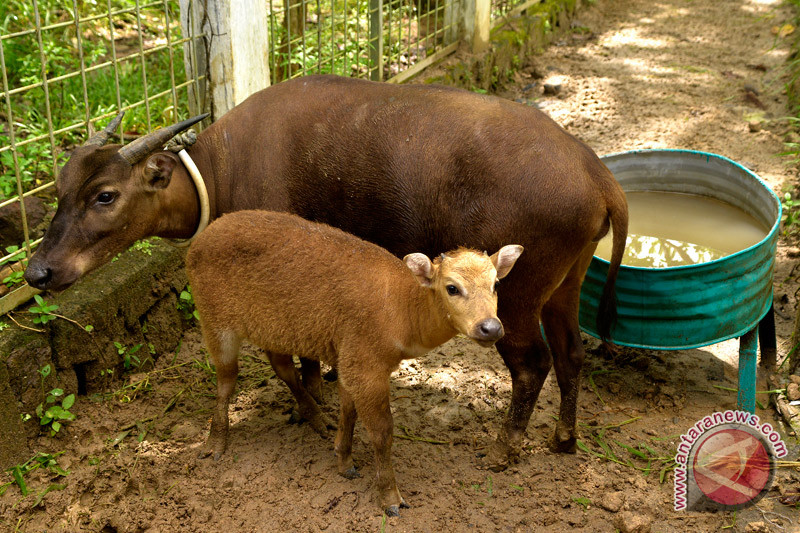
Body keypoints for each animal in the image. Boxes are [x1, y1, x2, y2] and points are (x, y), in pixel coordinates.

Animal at [188, 209, 524, 516]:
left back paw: (316, 418)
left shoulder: (349, 362)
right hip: (214, 320)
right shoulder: (366, 366)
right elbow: (382, 432)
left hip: (271, 330)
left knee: (281, 367)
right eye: (452, 287)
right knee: (227, 379)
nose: (490, 328)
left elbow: (348, 411)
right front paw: (390, 498)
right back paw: (215, 444)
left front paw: (344, 461)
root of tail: (198, 242)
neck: (402, 311)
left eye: (495, 284)